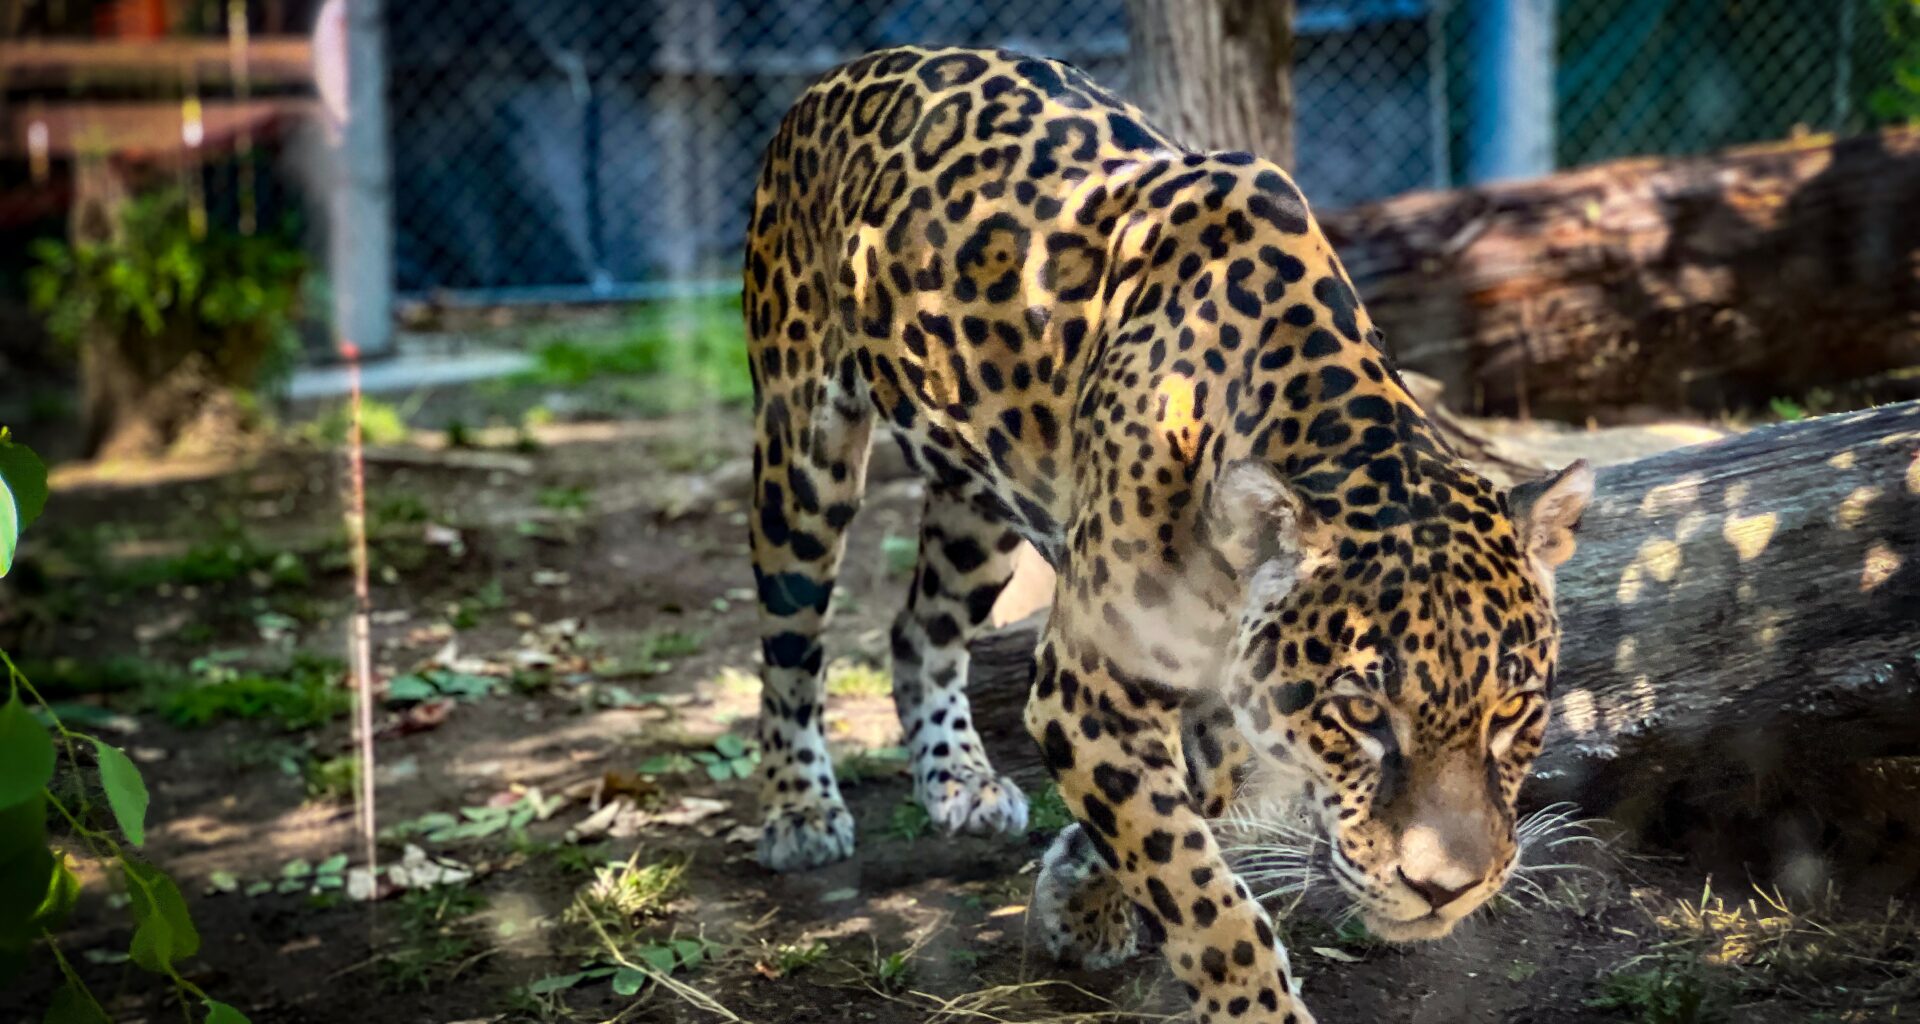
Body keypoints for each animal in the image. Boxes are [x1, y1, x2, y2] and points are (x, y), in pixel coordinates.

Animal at [742, 44, 1594, 1023]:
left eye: (1514, 711)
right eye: (1360, 714)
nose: (1446, 890)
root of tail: (848, 70)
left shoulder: (1218, 688)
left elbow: (1181, 806)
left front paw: (1077, 895)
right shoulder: (1084, 685)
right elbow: (1197, 888)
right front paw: (1243, 993)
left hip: (976, 495)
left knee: (919, 629)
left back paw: (958, 780)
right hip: (802, 445)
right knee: (790, 646)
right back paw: (800, 812)